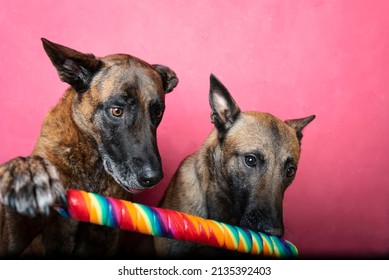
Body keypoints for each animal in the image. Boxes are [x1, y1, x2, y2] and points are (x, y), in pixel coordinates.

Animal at [0, 38, 178, 258]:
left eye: (158, 113)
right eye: (117, 111)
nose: (153, 178)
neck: (91, 166)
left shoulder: (105, 237)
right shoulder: (18, 237)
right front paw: (28, 175)